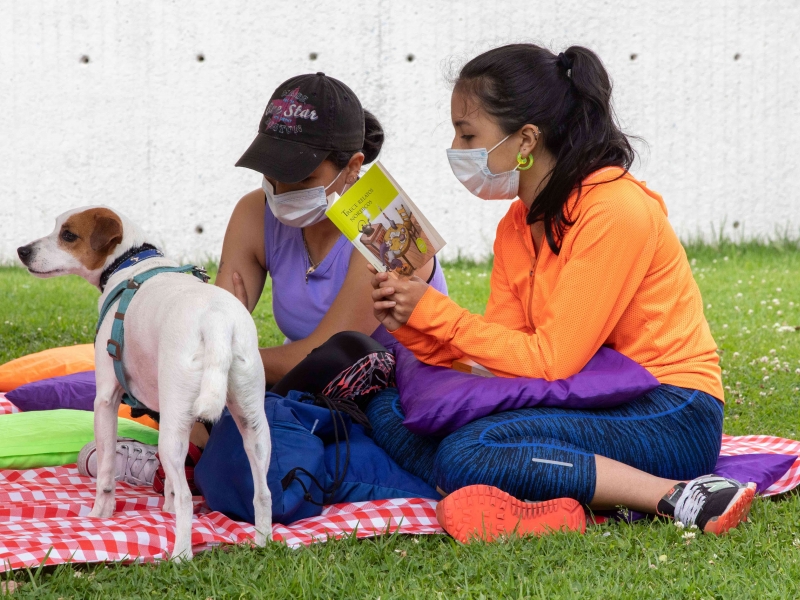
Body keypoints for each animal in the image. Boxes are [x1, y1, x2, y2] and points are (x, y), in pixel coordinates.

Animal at [15, 207, 270, 564]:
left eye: (68, 235)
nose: (22, 251)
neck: (128, 261)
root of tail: (216, 321)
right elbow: (170, 484)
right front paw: (164, 507)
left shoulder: (106, 400)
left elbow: (106, 470)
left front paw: (100, 515)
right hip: (253, 425)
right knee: (262, 493)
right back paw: (264, 542)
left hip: (177, 428)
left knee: (188, 499)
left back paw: (180, 555)